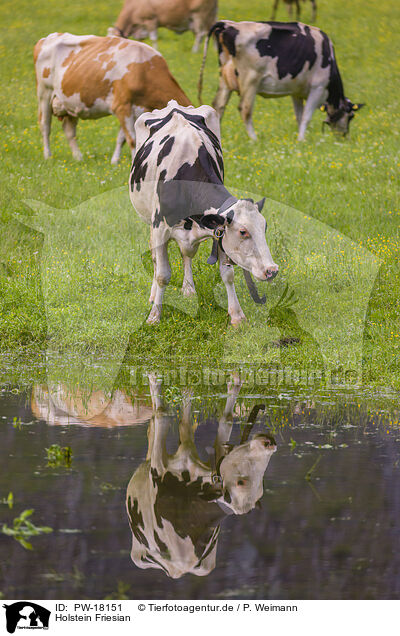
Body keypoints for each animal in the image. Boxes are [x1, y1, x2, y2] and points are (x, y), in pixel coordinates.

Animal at [34, 33, 191, 164]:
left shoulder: (135, 111)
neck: (144, 71)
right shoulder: (122, 106)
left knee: (69, 131)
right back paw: (48, 156)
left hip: (69, 103)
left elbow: (122, 138)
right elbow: (132, 139)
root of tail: (47, 38)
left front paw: (115, 161)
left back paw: (78, 158)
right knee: (45, 126)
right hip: (44, 94)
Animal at [126, 376, 276, 580]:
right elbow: (162, 414)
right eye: (241, 482)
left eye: (260, 489)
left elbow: (224, 419)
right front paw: (155, 380)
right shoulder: (158, 467)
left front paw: (235, 382)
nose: (269, 444)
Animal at [129, 100, 278, 328]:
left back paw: (189, 288)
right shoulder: (159, 227)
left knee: (186, 254)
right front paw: (154, 316)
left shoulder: (219, 232)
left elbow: (227, 273)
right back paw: (154, 296)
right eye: (243, 232)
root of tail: (173, 105)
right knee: (155, 259)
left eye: (264, 227)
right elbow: (162, 274)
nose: (272, 270)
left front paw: (237, 316)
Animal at [198, 19, 364, 140]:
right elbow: (306, 116)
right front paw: (302, 139)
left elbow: (299, 116)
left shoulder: (296, 92)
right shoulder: (317, 88)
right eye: (351, 116)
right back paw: (254, 139)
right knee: (245, 109)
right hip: (250, 79)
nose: (344, 136)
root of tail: (228, 24)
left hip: (226, 80)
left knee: (218, 106)